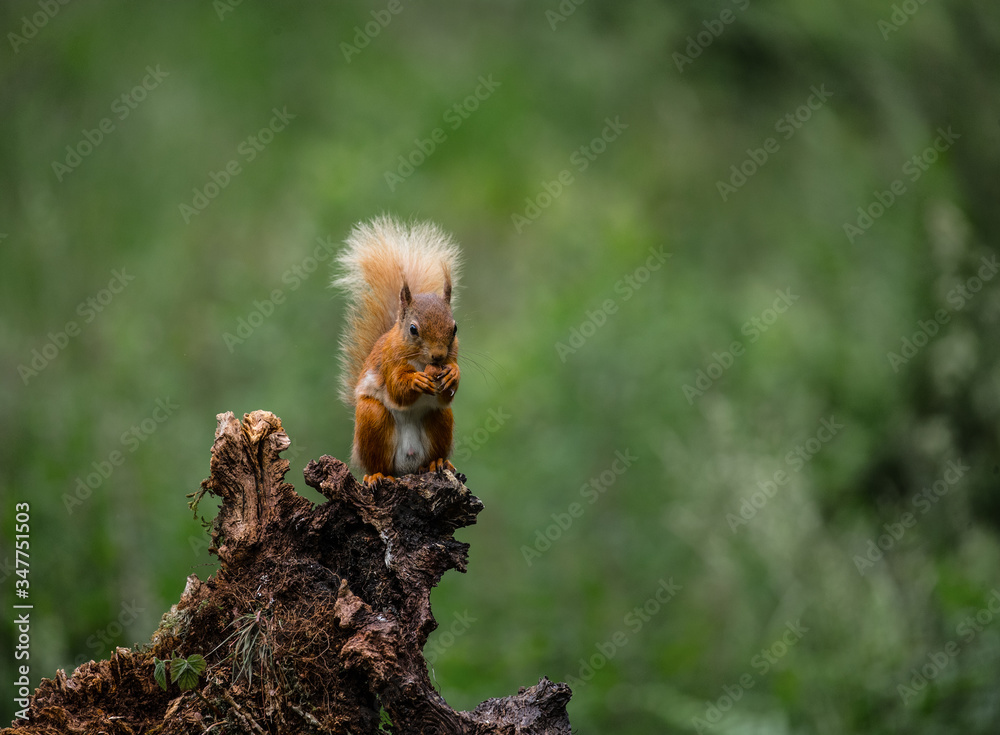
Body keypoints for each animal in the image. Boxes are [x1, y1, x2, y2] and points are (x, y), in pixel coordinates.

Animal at [332, 216, 462, 484]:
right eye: (413, 329)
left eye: (455, 328)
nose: (438, 356)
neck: (423, 363)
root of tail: (406, 468)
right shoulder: (388, 361)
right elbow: (396, 389)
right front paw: (415, 381)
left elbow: (449, 392)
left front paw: (453, 374)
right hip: (372, 420)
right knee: (378, 462)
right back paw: (377, 475)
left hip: (440, 417)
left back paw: (436, 462)